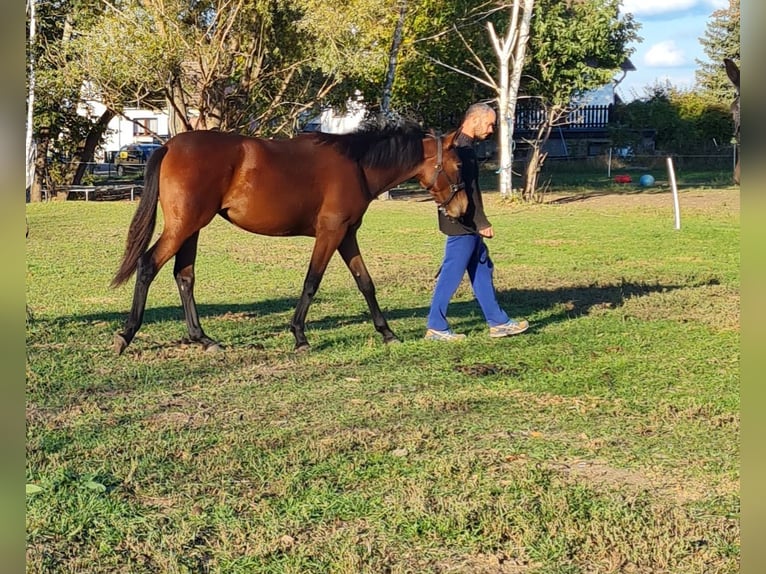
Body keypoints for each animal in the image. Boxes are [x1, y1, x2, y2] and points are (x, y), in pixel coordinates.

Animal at [108, 125, 468, 356]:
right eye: (458, 164)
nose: (462, 209)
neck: (358, 166)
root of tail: (170, 145)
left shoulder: (347, 235)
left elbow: (365, 283)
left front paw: (388, 333)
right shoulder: (331, 233)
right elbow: (312, 282)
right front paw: (299, 336)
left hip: (191, 227)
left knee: (184, 276)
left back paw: (203, 338)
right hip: (183, 226)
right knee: (148, 265)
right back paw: (127, 334)